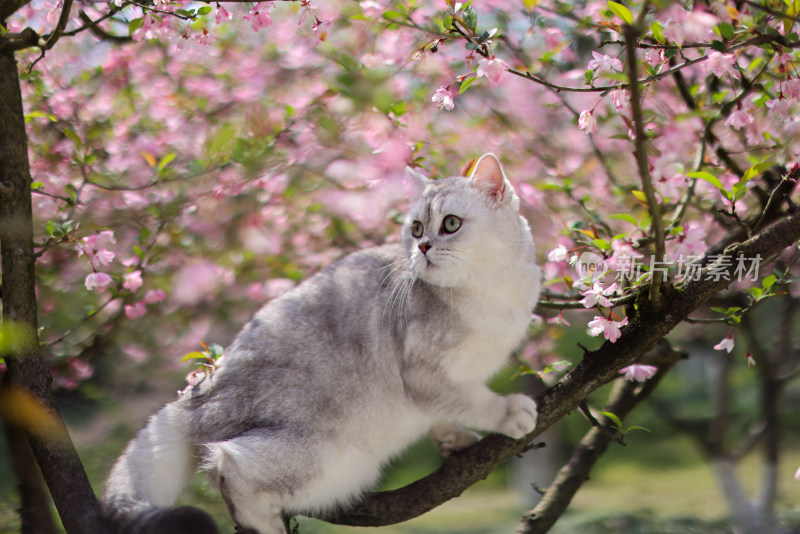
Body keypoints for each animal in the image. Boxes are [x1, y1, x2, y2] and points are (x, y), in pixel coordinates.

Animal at [104, 154, 544, 534]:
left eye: (451, 223)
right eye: (417, 229)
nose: (423, 247)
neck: (493, 290)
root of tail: (194, 397)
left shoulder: (443, 384)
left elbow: (446, 409)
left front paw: (452, 438)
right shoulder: (424, 373)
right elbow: (472, 401)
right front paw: (507, 412)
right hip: (324, 454)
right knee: (229, 465)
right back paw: (265, 525)